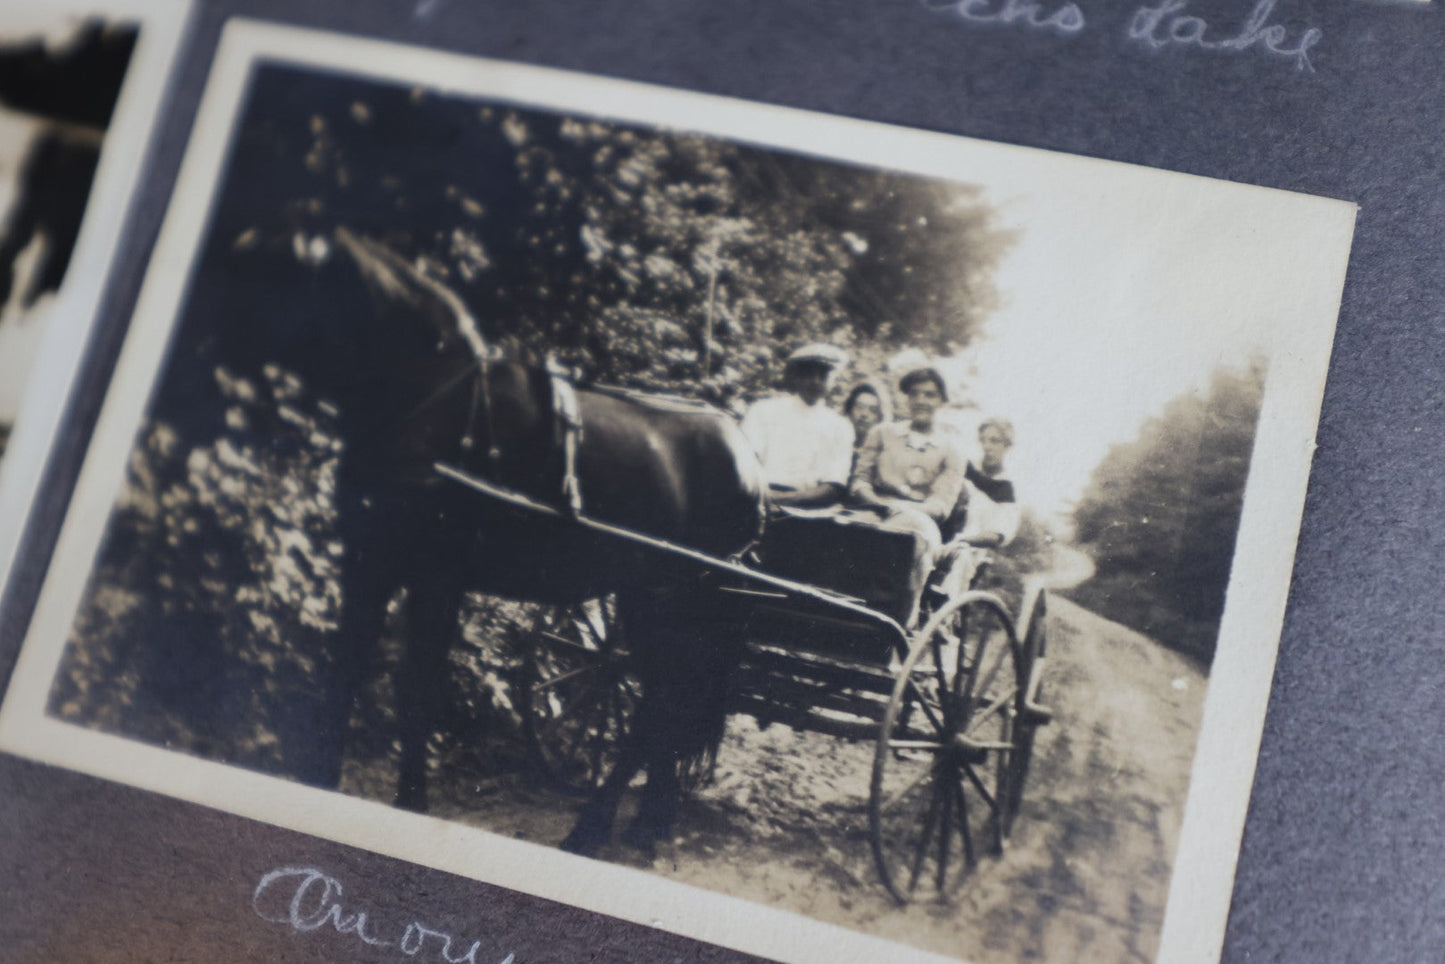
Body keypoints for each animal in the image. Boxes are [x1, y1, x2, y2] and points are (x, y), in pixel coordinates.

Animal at [199, 226, 768, 849]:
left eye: (270, 268)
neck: (429, 397)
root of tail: (748, 460)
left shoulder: (437, 577)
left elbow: (415, 688)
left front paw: (411, 800)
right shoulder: (369, 562)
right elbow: (346, 667)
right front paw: (317, 779)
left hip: (667, 602)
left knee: (657, 709)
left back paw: (591, 830)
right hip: (652, 603)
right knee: (669, 705)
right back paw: (647, 825)